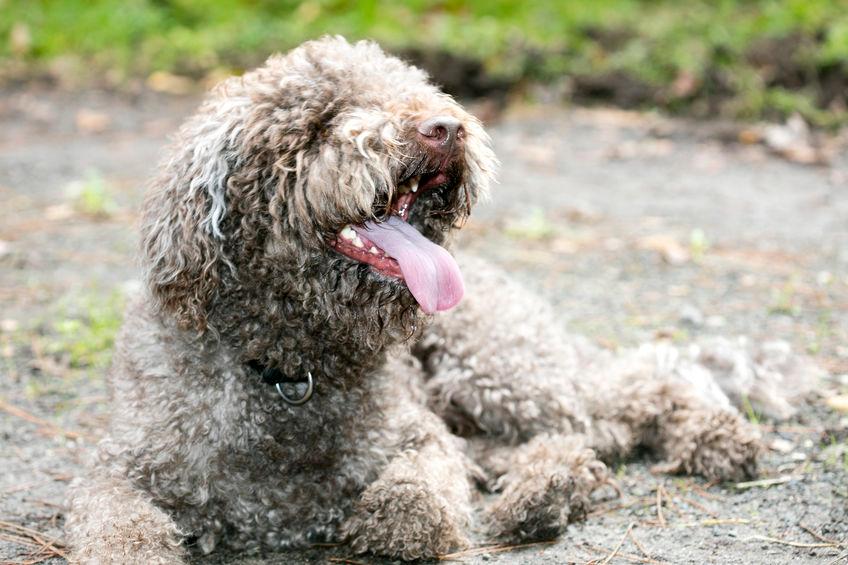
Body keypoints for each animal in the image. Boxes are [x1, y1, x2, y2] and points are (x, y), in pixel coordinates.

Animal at [63, 37, 820, 560]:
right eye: (323, 120)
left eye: (412, 89)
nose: (445, 127)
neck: (290, 365)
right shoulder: (117, 469)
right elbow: (120, 529)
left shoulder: (419, 434)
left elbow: (421, 493)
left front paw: (394, 516)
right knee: (568, 439)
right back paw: (543, 494)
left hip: (495, 364)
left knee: (629, 394)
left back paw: (716, 438)